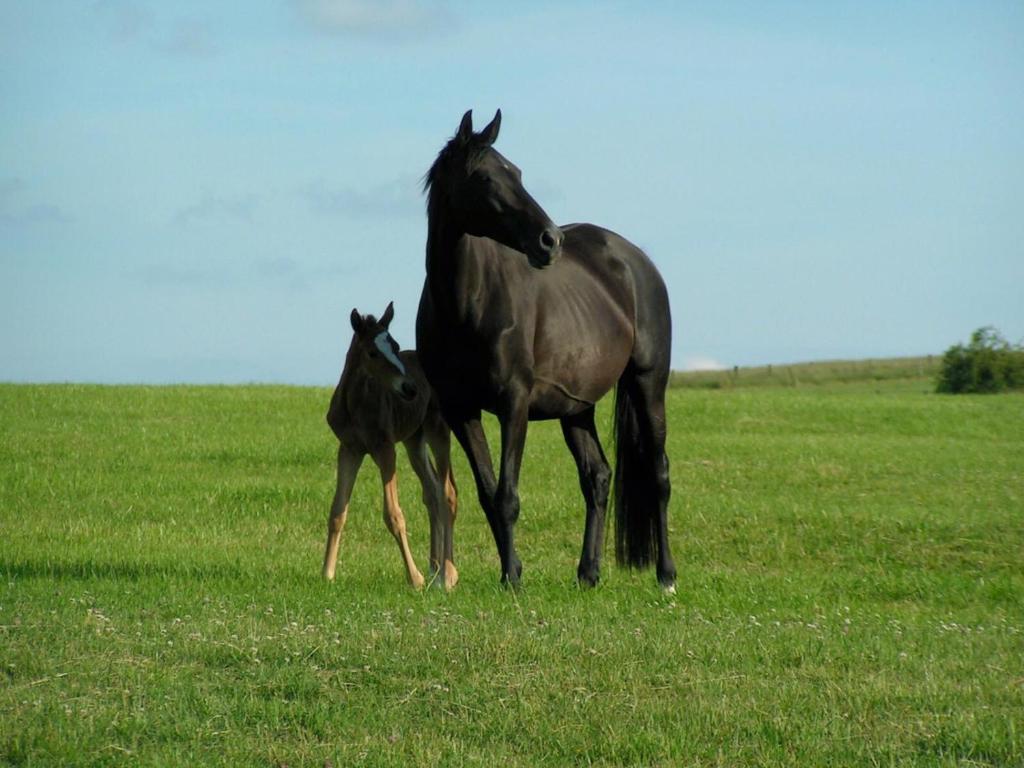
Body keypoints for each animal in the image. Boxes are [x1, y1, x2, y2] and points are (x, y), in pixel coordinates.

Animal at [411, 107, 675, 589]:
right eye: (485, 178)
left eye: (516, 172)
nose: (550, 240)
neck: (467, 302)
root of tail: (637, 262)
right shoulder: (461, 410)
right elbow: (488, 493)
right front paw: (511, 572)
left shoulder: (513, 403)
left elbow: (508, 495)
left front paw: (513, 581)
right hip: (577, 408)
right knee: (598, 477)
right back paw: (588, 573)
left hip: (649, 384)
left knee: (658, 473)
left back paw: (666, 575)